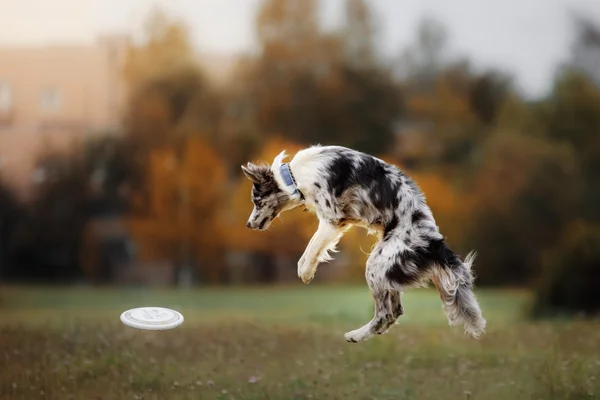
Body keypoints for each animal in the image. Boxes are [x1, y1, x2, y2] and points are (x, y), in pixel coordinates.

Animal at [241, 145, 486, 342]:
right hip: (385, 269)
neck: (294, 175)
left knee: (386, 312)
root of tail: (435, 243)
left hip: (377, 264)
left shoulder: (332, 219)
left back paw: (355, 335)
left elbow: (312, 247)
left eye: (257, 200)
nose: (248, 224)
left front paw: (305, 271)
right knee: (395, 311)